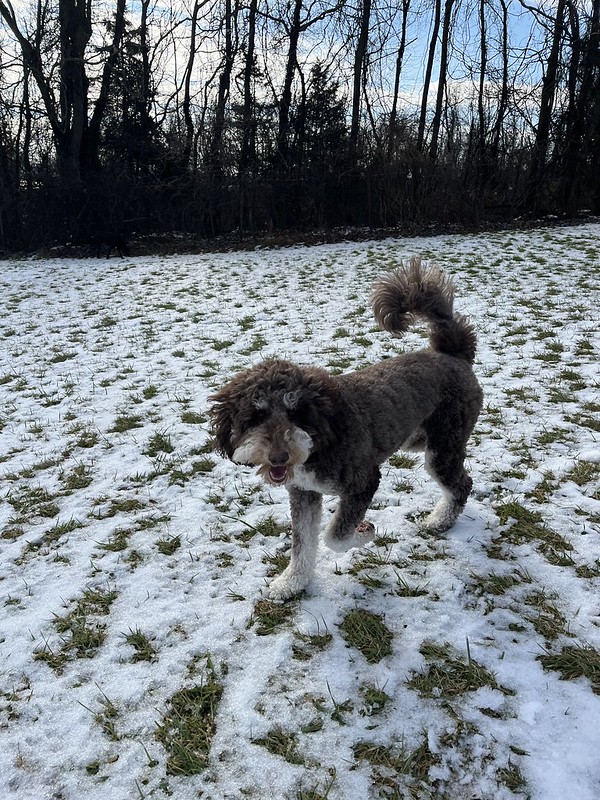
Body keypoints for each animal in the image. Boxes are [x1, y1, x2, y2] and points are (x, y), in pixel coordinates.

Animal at [210, 260, 482, 596]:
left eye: (297, 413)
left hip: (443, 446)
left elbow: (335, 536)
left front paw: (364, 532)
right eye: (256, 415)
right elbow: (303, 543)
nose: (278, 457)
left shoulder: (364, 481)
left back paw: (440, 521)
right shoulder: (304, 492)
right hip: (418, 440)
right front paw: (292, 583)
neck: (321, 440)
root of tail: (453, 354)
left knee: (462, 483)